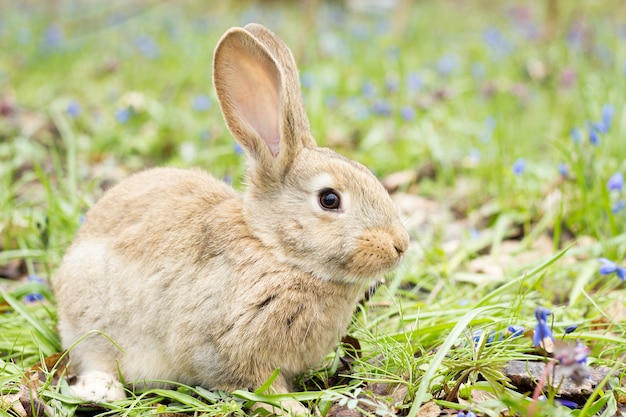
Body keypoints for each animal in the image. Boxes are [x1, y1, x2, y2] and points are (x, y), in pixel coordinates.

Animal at [51, 23, 408, 416]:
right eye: (329, 199)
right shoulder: (228, 350)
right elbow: (260, 385)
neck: (275, 251)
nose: (400, 245)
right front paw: (293, 408)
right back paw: (101, 390)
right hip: (93, 324)